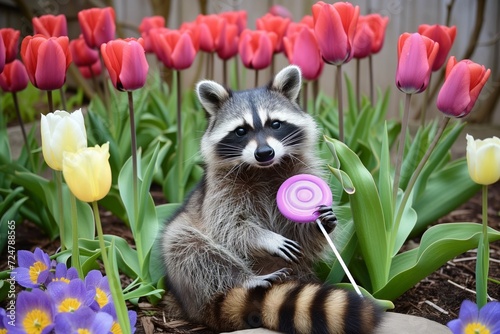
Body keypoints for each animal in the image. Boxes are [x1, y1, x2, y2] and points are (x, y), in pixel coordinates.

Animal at [162, 66, 380, 334]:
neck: (264, 168)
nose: (264, 152)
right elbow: (230, 227)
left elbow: (303, 236)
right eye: (241, 130)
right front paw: (265, 238)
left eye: (275, 124)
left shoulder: (303, 169)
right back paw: (246, 279)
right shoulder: (220, 191)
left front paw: (322, 222)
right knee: (189, 248)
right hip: (184, 249)